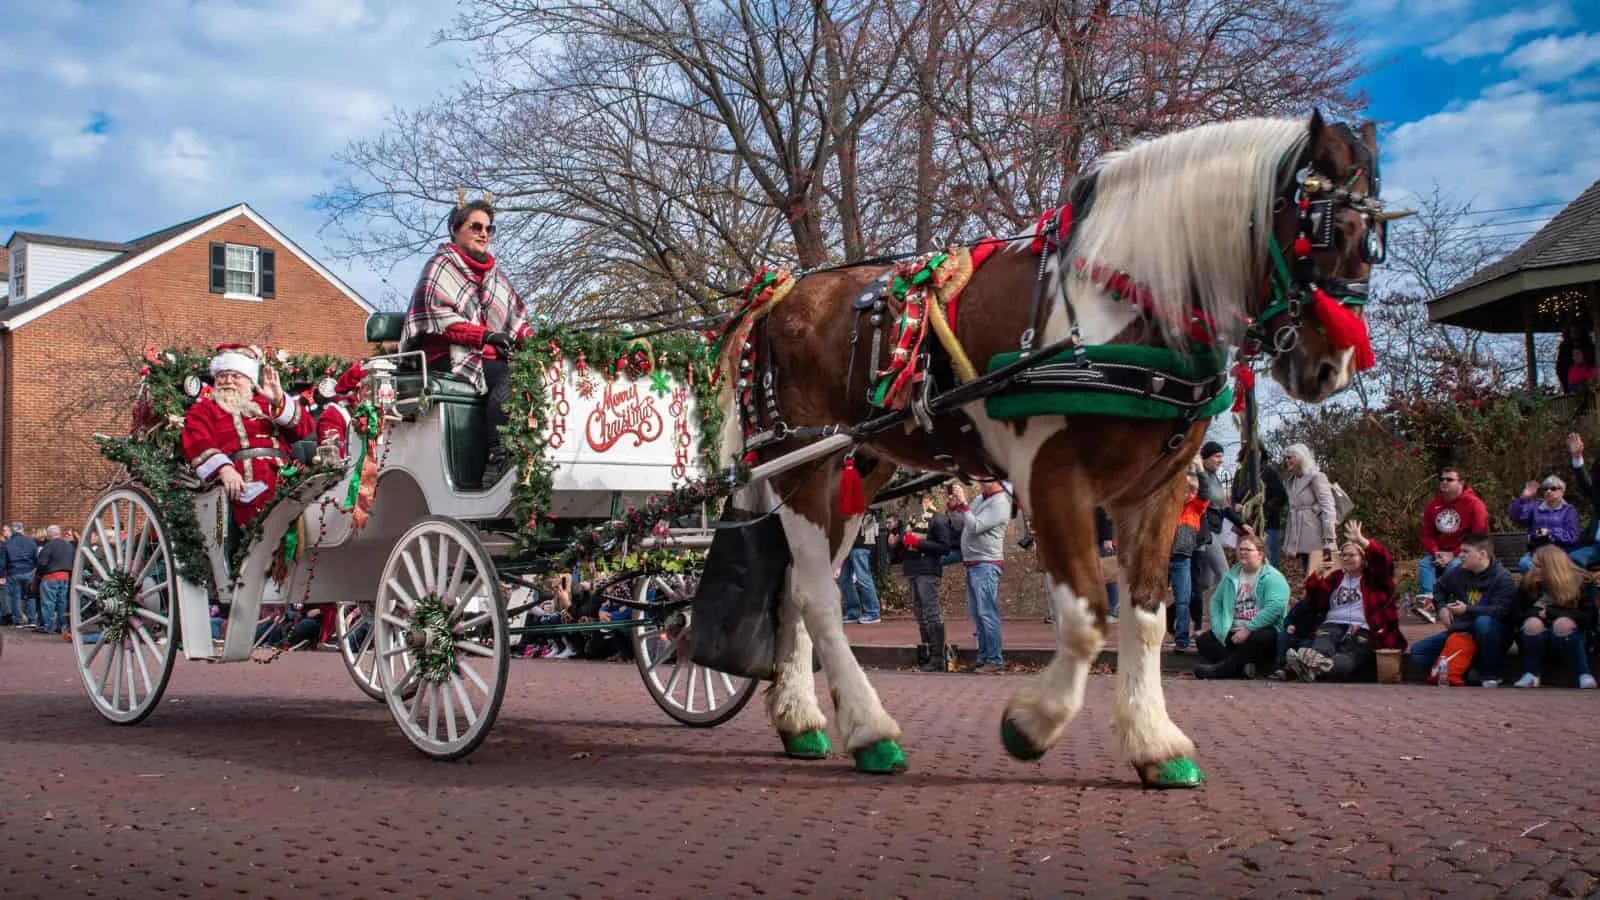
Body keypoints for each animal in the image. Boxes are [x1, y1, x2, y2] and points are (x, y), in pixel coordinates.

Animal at [720, 110, 1395, 784]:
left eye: (1376, 242)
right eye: (1323, 230)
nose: (1333, 367)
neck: (1121, 306)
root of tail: (778, 295)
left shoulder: (1157, 488)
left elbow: (1145, 617)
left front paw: (1153, 741)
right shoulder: (1050, 476)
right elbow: (1088, 616)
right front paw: (1032, 724)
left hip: (855, 468)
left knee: (800, 588)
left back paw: (801, 720)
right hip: (805, 468)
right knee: (816, 596)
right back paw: (870, 731)